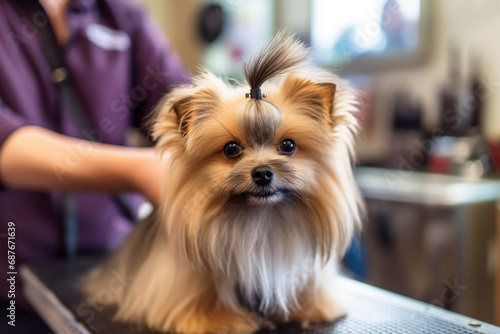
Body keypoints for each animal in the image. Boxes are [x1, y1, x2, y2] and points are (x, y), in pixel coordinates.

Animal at [84, 33, 362, 334]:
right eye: (231, 149)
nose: (262, 173)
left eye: (288, 145)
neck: (260, 219)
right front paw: (216, 318)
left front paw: (307, 307)